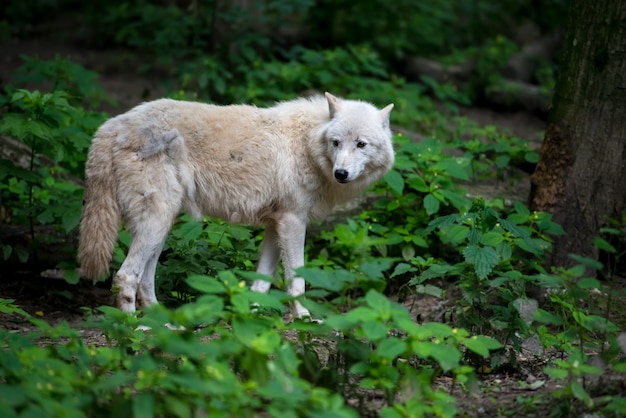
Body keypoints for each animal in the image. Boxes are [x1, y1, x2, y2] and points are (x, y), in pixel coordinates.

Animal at [77, 94, 390, 316]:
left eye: (361, 144)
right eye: (336, 143)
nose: (341, 173)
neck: (306, 144)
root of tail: (110, 126)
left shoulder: (276, 225)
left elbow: (262, 280)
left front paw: (251, 315)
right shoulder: (292, 222)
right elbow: (296, 280)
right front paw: (304, 318)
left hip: (161, 227)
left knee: (145, 278)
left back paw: (164, 324)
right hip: (155, 223)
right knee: (125, 276)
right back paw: (130, 330)